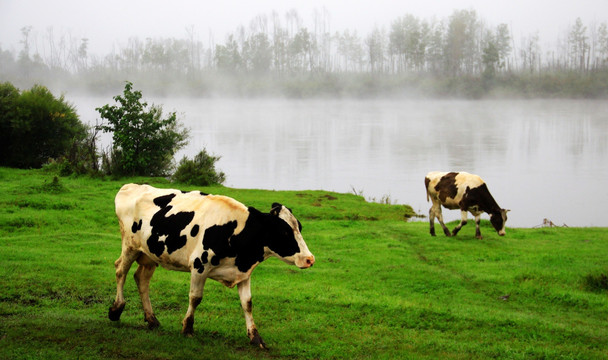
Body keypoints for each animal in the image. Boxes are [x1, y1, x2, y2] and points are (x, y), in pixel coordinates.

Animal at [108, 184, 316, 348]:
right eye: (284, 232)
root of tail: (131, 186)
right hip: (130, 246)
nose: (310, 259)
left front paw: (255, 337)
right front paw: (187, 328)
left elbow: (247, 304)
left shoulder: (244, 273)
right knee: (120, 271)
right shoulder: (199, 266)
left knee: (141, 279)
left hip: (150, 254)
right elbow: (195, 298)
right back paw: (116, 310)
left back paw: (151, 319)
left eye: (299, 227)